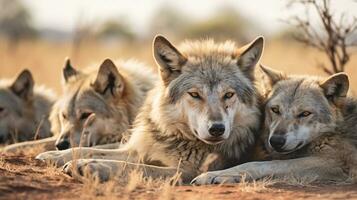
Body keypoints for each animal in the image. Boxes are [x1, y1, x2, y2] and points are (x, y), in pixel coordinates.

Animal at [36, 35, 264, 184]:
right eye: (194, 94)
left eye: (228, 95)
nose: (217, 129)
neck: (174, 136)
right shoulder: (137, 148)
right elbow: (91, 149)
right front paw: (53, 155)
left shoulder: (184, 172)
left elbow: (133, 167)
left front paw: (90, 166)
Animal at [191, 66, 356, 186]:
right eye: (275, 110)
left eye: (304, 114)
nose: (276, 141)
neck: (335, 132)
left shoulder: (335, 164)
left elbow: (263, 164)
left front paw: (216, 175)